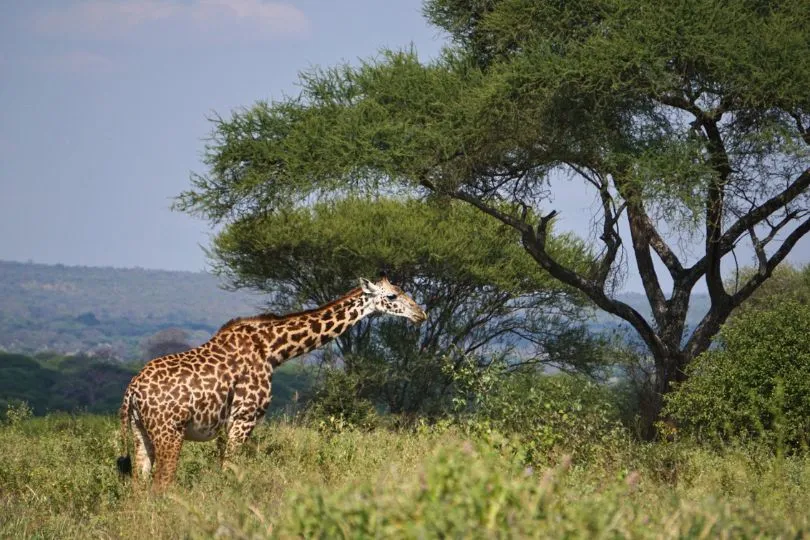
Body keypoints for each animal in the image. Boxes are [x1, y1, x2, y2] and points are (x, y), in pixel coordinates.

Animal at [116, 276, 426, 491]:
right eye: (392, 295)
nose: (420, 314)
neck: (271, 349)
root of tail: (132, 390)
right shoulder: (244, 417)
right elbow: (229, 470)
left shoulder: (230, 423)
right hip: (170, 433)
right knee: (161, 484)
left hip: (140, 431)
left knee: (139, 485)